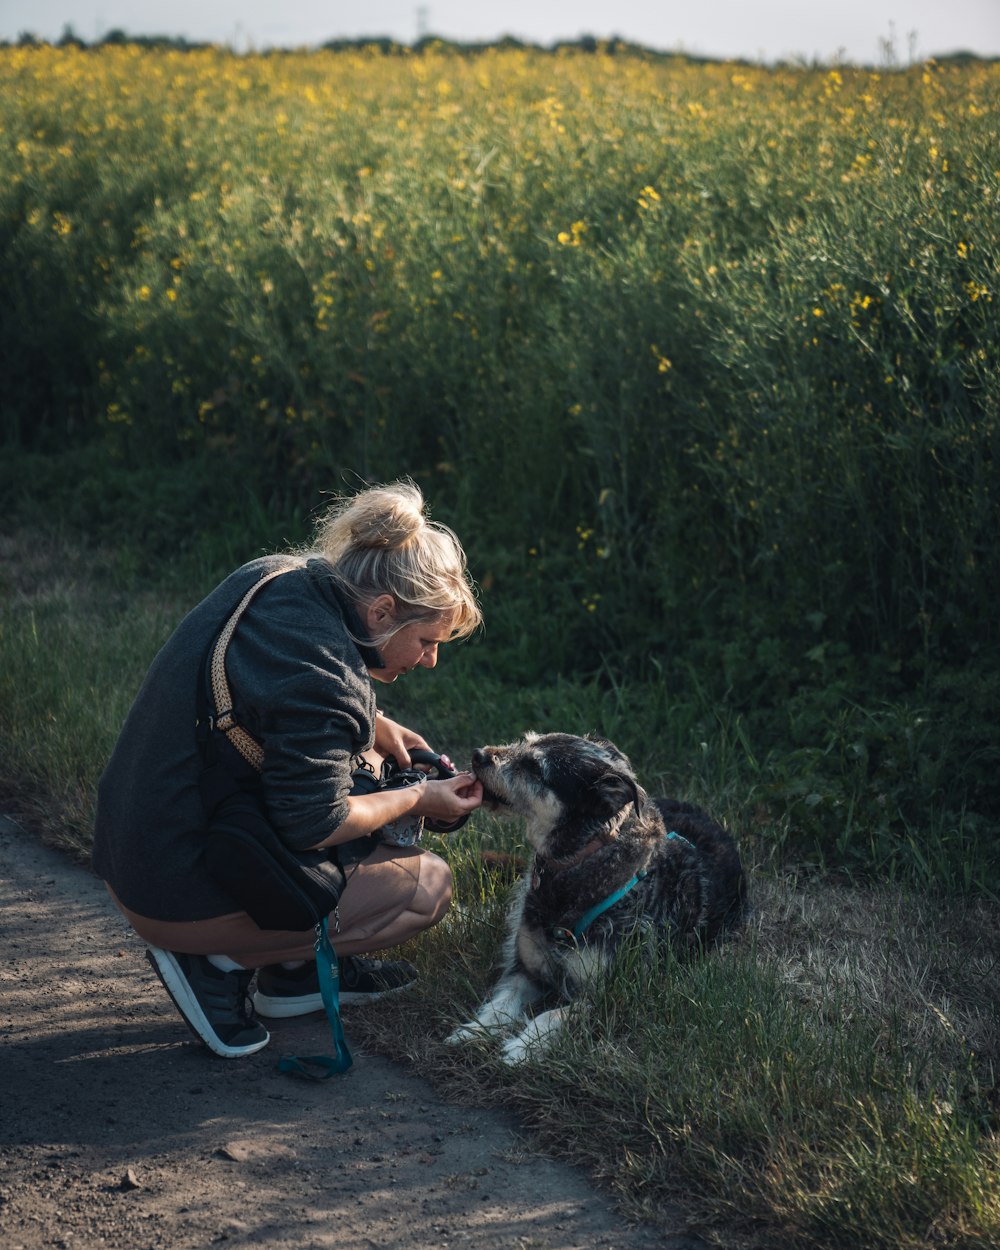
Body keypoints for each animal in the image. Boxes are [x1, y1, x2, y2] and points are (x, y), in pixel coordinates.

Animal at [450, 730, 745, 1065]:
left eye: (536, 768)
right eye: (526, 742)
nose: (477, 754)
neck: (578, 865)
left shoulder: (609, 992)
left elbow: (553, 1015)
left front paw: (524, 1046)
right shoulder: (525, 970)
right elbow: (501, 1003)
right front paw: (474, 1030)